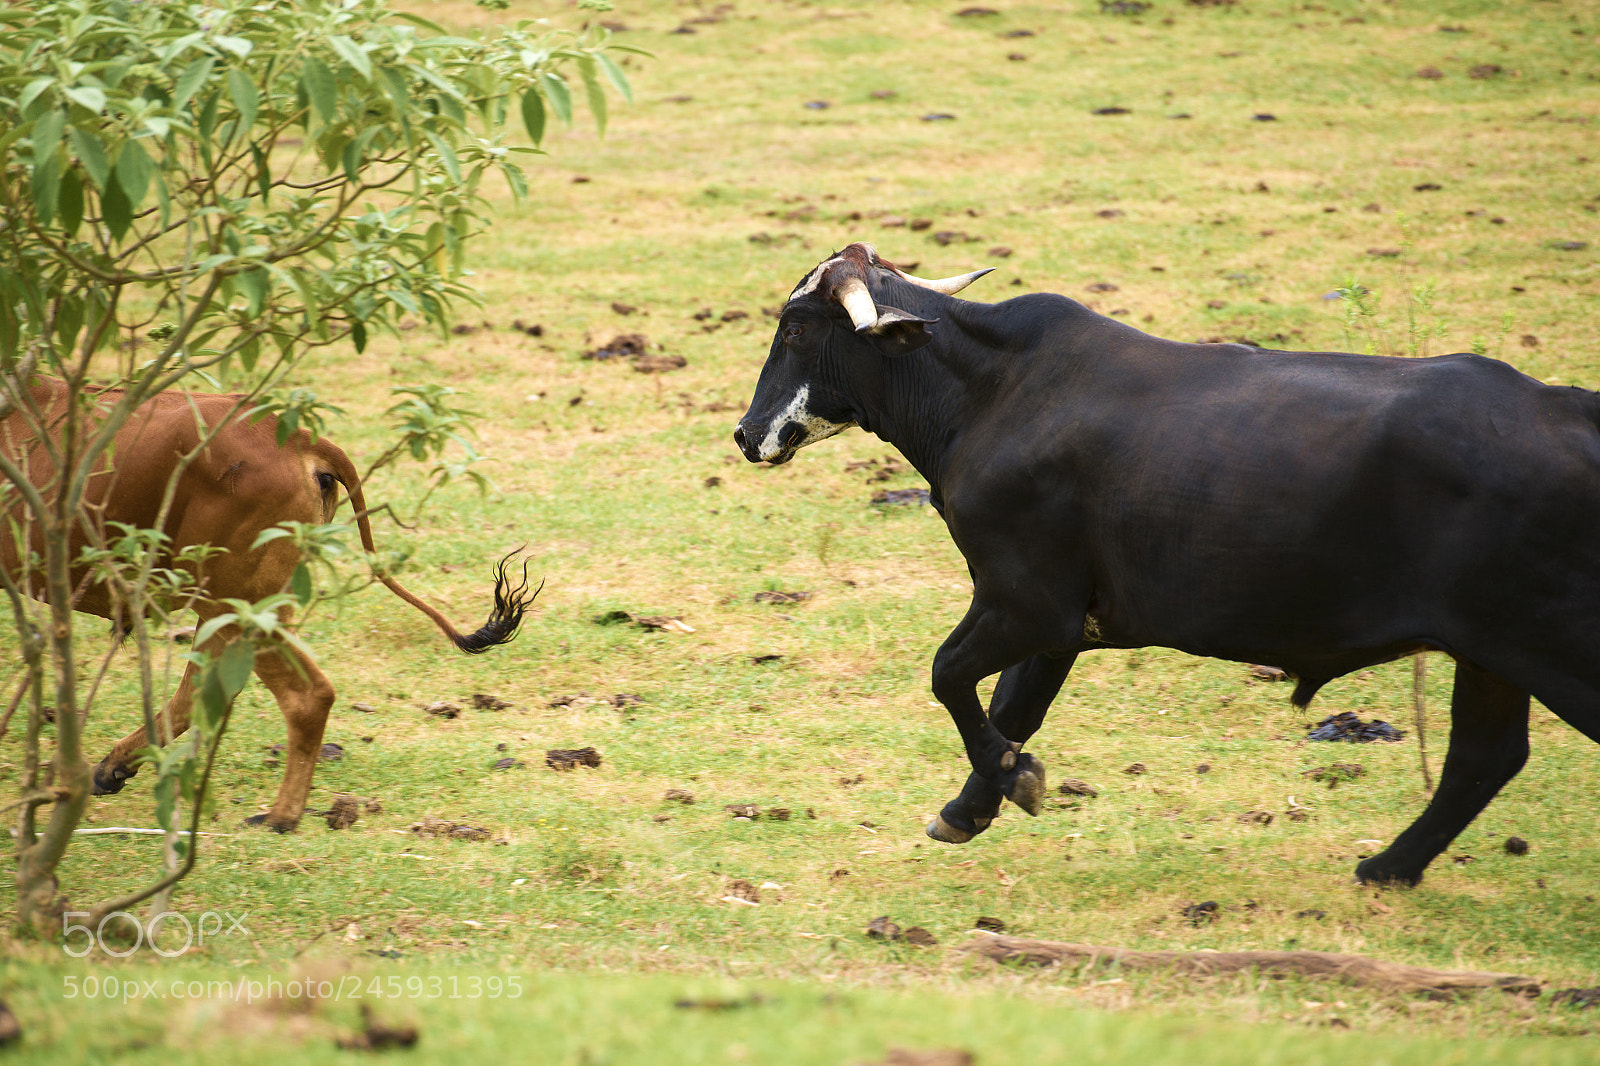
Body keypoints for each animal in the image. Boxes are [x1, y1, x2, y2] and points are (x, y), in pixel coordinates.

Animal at [1, 377, 536, 831]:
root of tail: (298, 436)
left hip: (235, 607)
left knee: (306, 695)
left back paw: (280, 816)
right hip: (229, 609)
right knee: (201, 693)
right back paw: (115, 768)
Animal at [733, 242, 1600, 887]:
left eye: (797, 329)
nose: (745, 433)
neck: (995, 393)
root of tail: (1568, 407)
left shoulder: (1023, 601)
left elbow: (951, 676)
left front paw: (1014, 779)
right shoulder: (1061, 622)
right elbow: (1013, 705)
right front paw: (975, 805)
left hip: (1545, 644)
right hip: (1492, 653)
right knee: (1483, 758)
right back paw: (1388, 867)